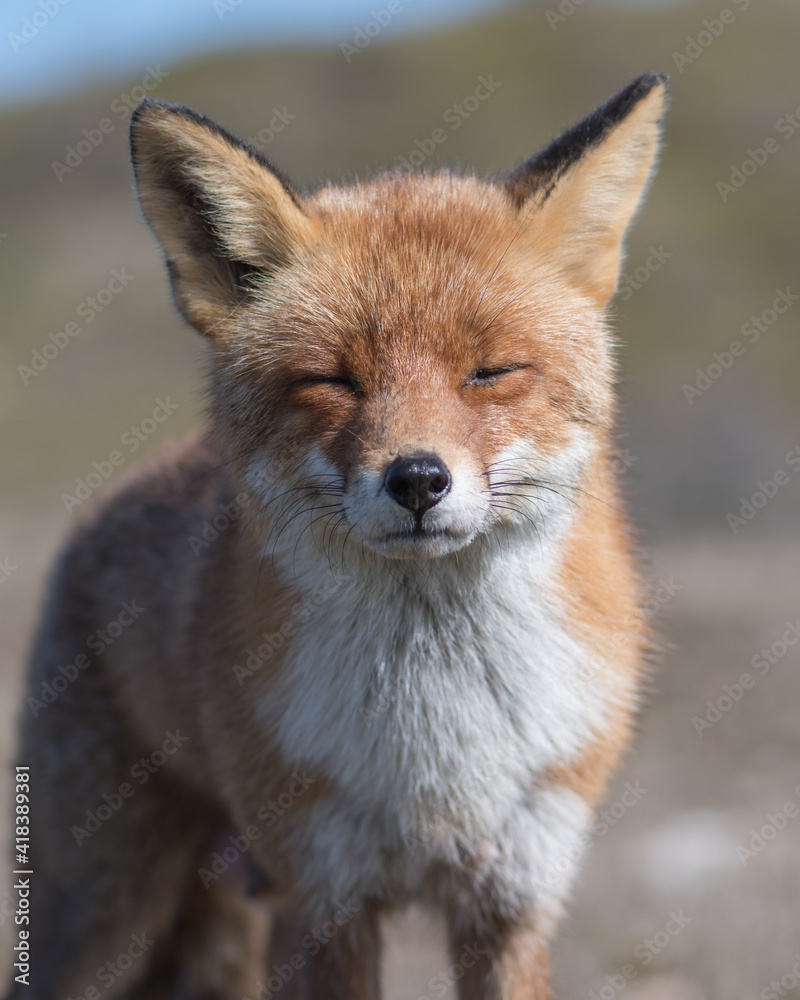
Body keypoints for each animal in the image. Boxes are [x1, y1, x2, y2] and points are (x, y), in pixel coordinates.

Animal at [8, 73, 667, 1000]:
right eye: (333, 380)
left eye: (491, 372)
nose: (418, 480)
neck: (437, 742)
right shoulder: (324, 897)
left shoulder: (514, 891)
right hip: (108, 920)